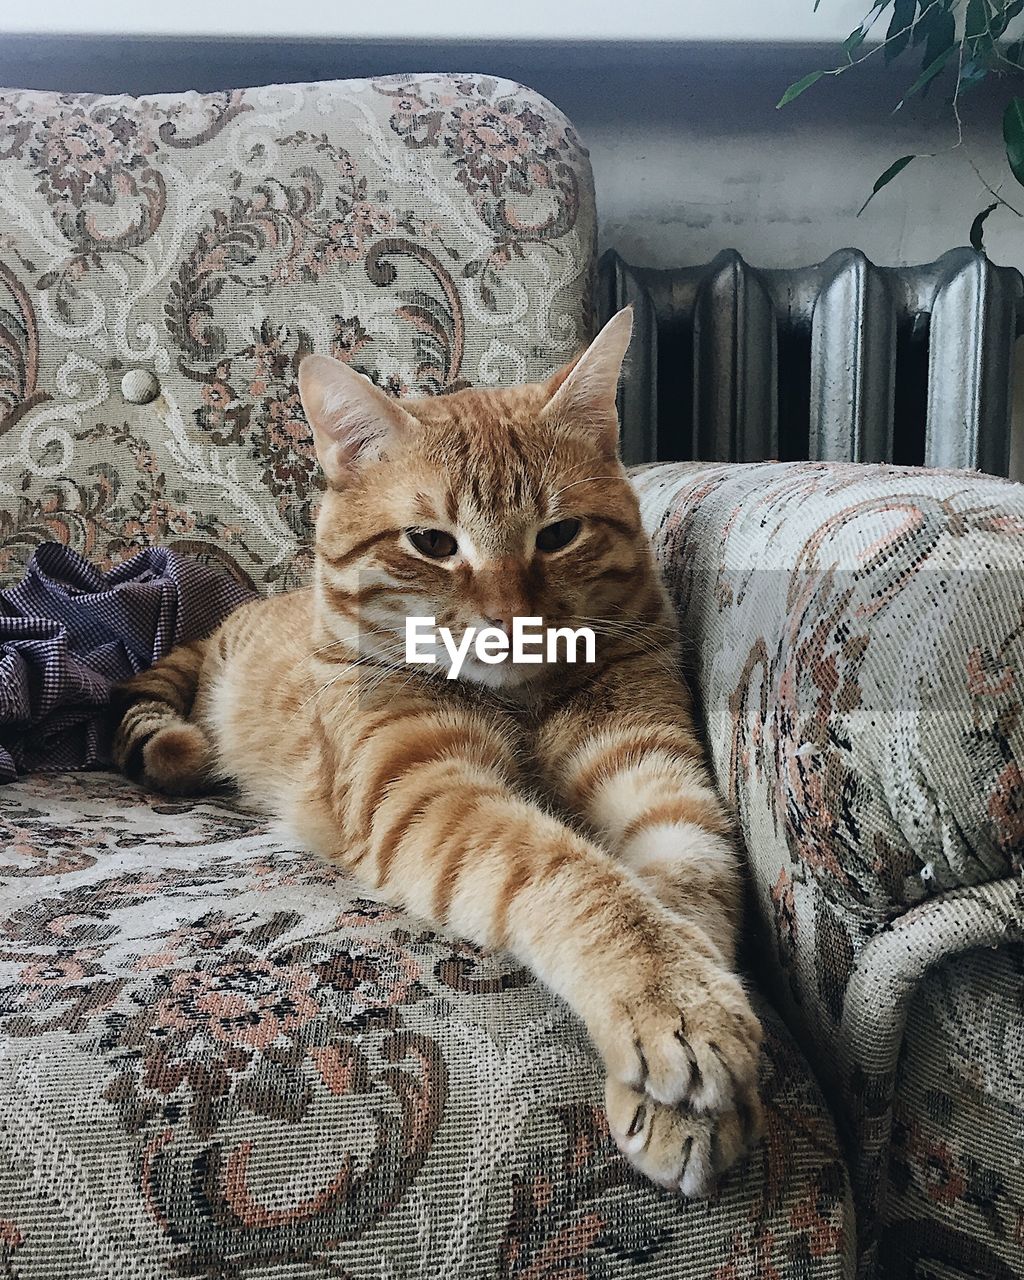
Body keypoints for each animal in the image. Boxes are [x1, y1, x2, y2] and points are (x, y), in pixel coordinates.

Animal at [113, 312, 768, 1198]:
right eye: (431, 542)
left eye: (559, 534)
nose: (510, 622)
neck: (517, 699)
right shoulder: (422, 790)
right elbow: (578, 878)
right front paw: (674, 1005)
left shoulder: (652, 772)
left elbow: (685, 890)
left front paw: (695, 1082)